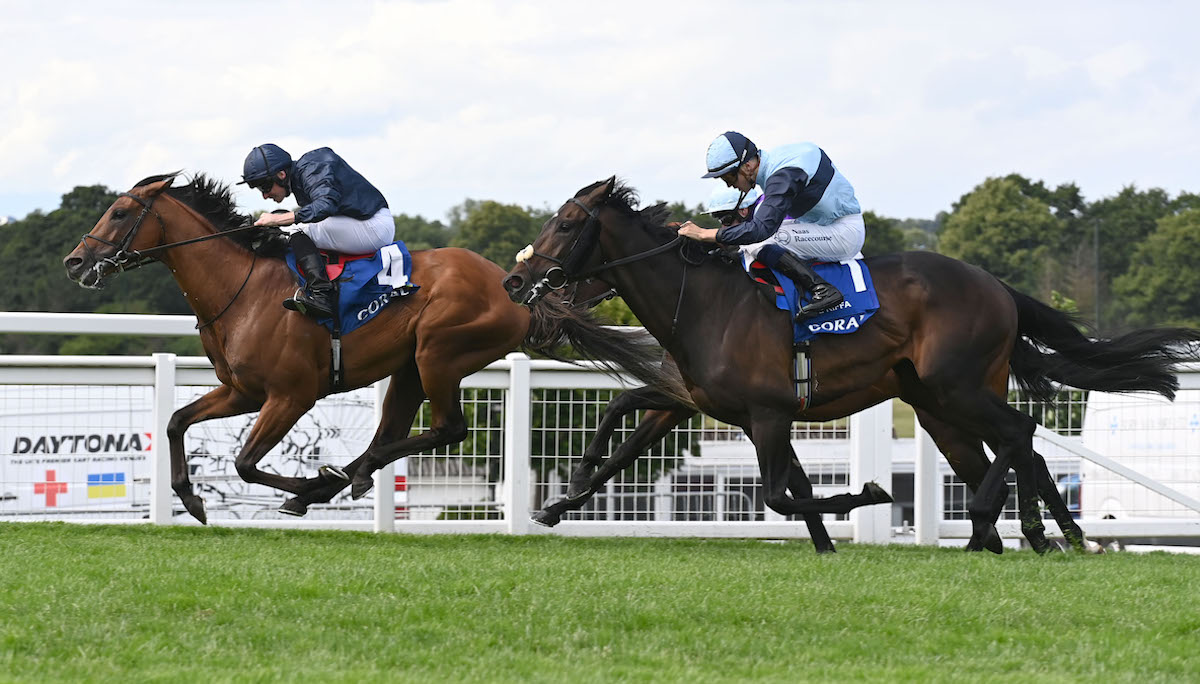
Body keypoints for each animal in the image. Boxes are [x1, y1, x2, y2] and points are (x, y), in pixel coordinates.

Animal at [63, 171, 676, 520]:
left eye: (120, 211)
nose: (75, 259)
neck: (244, 289)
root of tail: (515, 292)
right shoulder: (242, 391)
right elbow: (175, 422)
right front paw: (189, 498)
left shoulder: (291, 395)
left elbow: (244, 463)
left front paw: (304, 483)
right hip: (409, 369)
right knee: (394, 432)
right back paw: (348, 476)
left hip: (438, 353)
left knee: (449, 429)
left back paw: (333, 480)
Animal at [504, 178, 1200, 552]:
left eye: (565, 223)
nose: (515, 280)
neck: (705, 301)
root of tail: (996, 285)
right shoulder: (706, 402)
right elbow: (628, 433)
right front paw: (561, 500)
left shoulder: (766, 413)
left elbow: (782, 493)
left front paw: (861, 499)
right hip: (941, 403)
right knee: (1006, 451)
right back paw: (1019, 534)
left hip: (955, 386)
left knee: (1019, 434)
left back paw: (1012, 525)